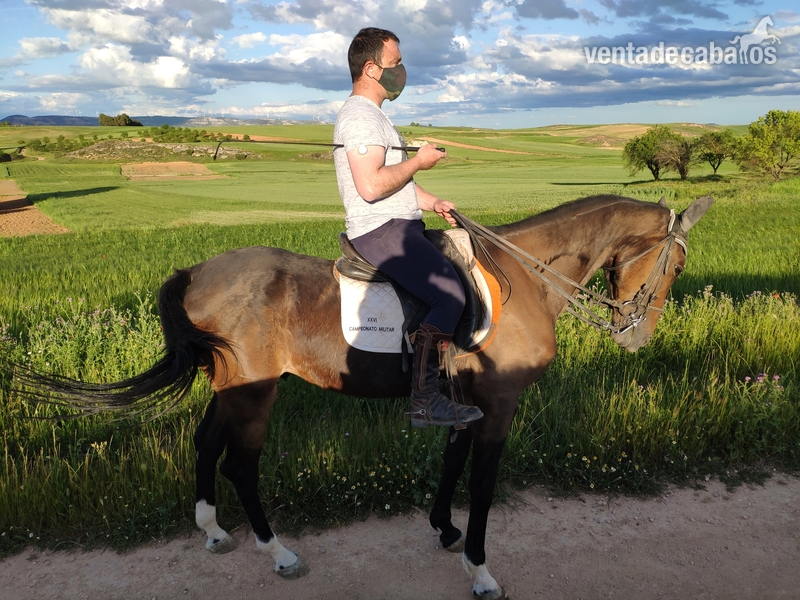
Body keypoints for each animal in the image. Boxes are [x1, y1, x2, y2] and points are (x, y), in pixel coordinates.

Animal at [17, 193, 713, 599]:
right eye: (676, 264)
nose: (637, 337)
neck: (524, 275)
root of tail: (196, 272)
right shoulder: (500, 405)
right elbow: (483, 481)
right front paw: (480, 568)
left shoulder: (464, 400)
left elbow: (451, 462)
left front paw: (443, 529)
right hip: (255, 393)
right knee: (241, 462)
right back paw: (278, 552)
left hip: (231, 387)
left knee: (206, 443)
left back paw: (213, 530)